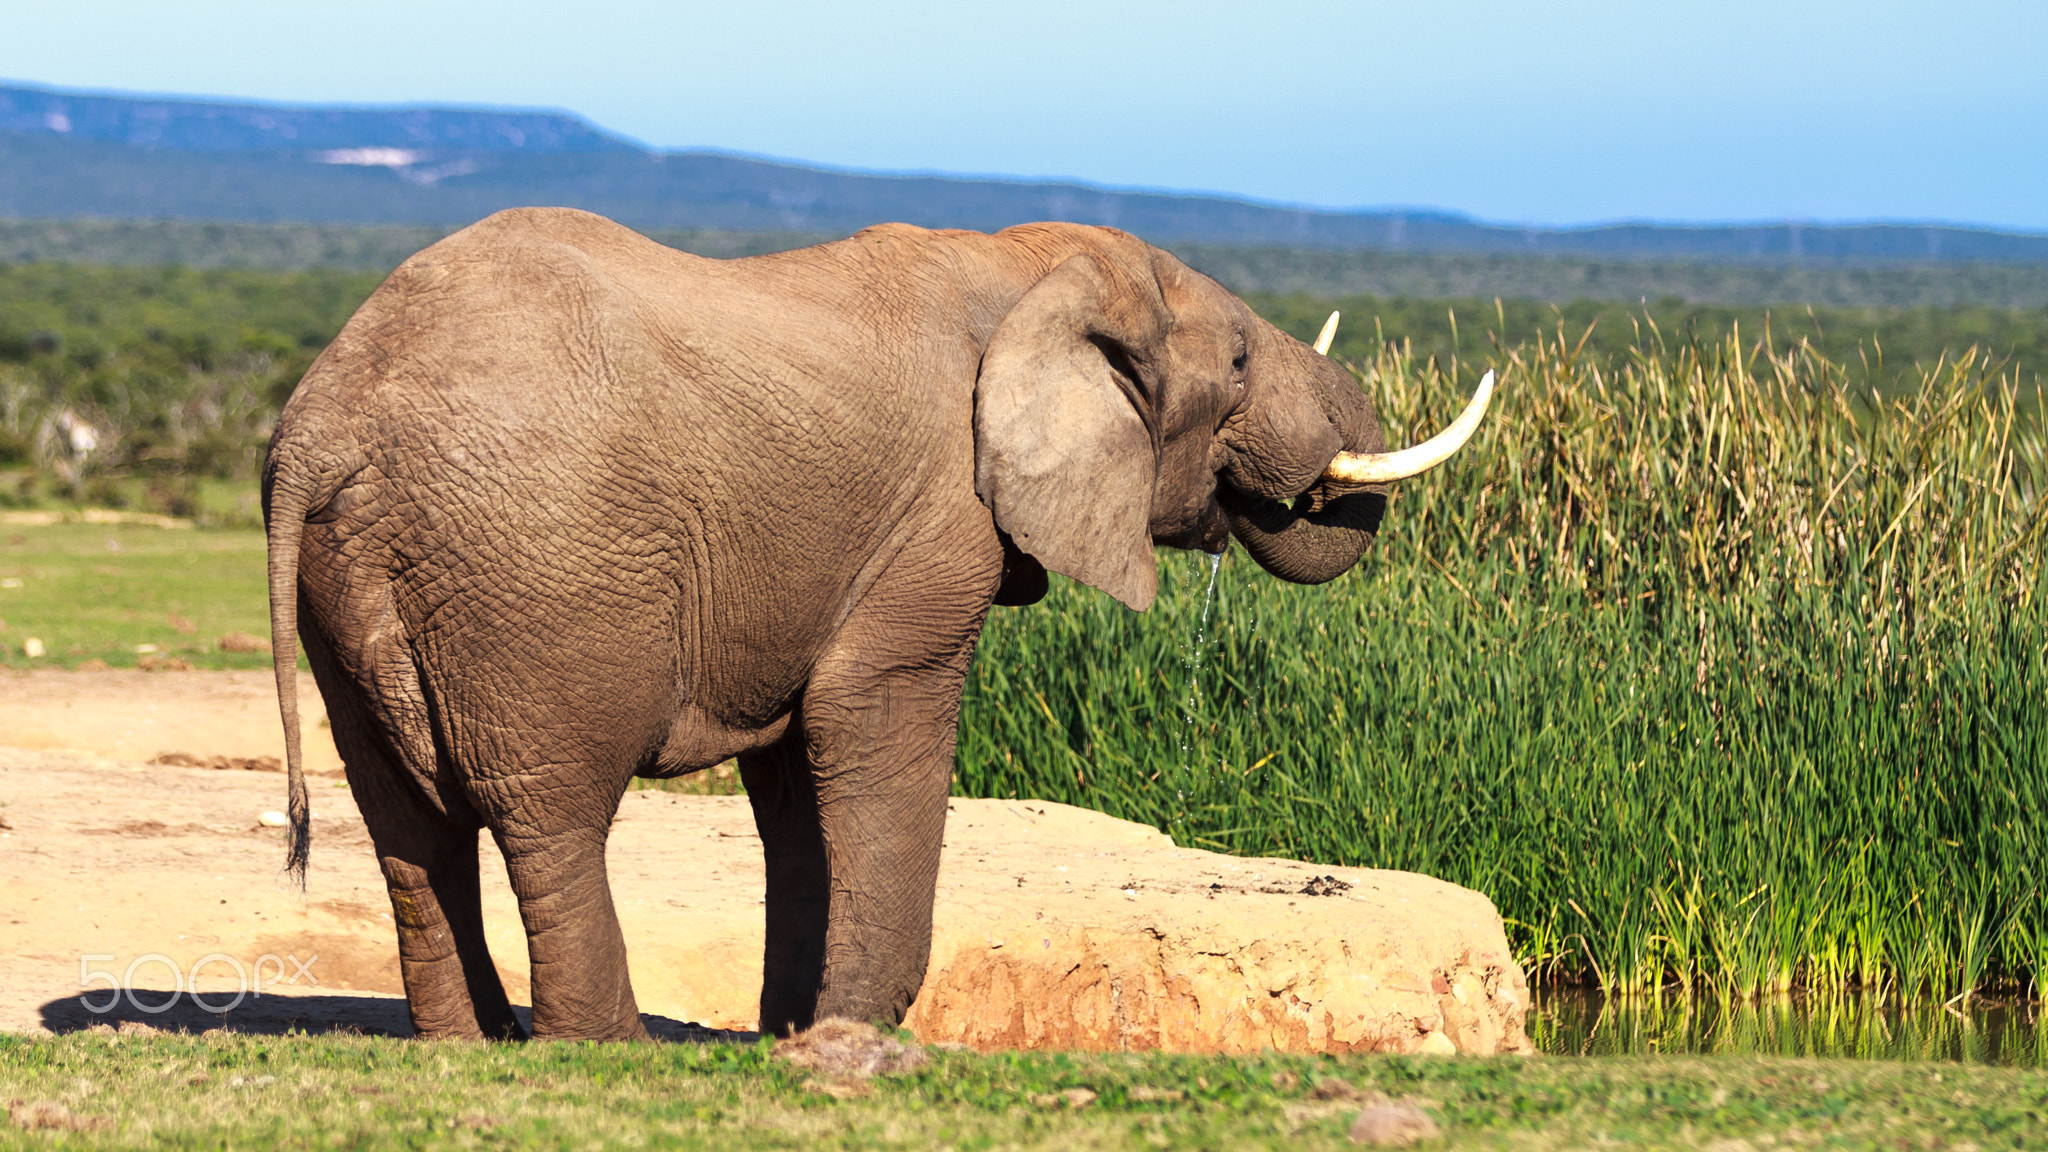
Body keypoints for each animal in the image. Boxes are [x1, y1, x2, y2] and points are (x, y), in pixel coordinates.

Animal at [263, 207, 1491, 1042]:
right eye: (1236, 361)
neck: (1028, 264)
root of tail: (325, 421)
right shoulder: (939, 515)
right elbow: (876, 707)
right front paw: (853, 1031)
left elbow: (794, 768)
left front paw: (797, 1033)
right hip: (540, 566)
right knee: (550, 812)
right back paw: (600, 1047)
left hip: (360, 580)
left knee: (407, 827)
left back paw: (473, 1043)